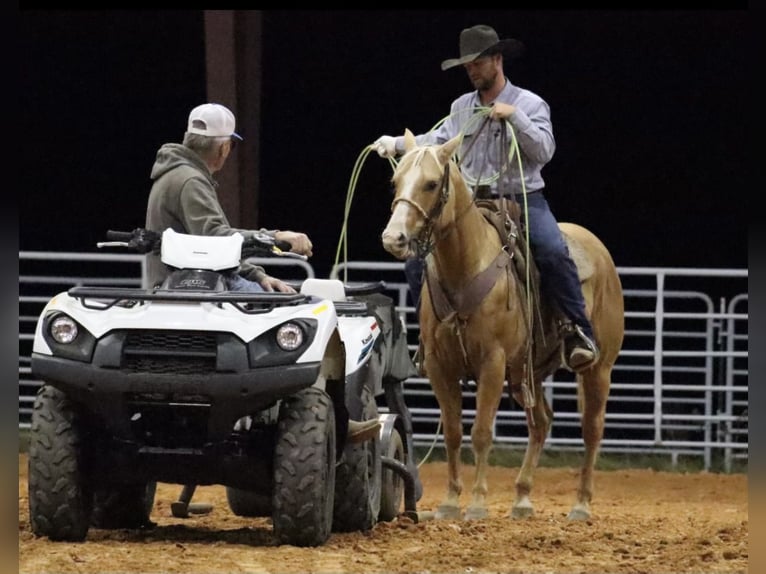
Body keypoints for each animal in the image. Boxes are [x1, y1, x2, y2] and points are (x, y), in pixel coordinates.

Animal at [380, 129, 628, 520]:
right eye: (396, 181)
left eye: (431, 184)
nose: (394, 238)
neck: (466, 265)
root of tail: (599, 251)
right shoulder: (439, 365)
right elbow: (453, 432)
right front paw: (450, 501)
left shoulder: (492, 362)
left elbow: (481, 432)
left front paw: (478, 503)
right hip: (529, 370)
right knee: (541, 422)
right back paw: (522, 497)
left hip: (599, 367)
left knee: (592, 428)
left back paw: (581, 504)